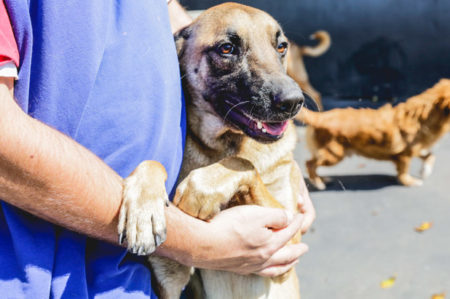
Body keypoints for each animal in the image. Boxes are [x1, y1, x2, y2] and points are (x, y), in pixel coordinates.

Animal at [298, 78, 450, 190]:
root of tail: (319, 117)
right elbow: (403, 172)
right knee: (310, 164)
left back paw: (322, 179)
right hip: (334, 155)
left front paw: (425, 171)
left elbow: (430, 156)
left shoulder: (417, 149)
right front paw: (409, 182)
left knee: (313, 163)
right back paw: (318, 183)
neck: (422, 117)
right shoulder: (404, 156)